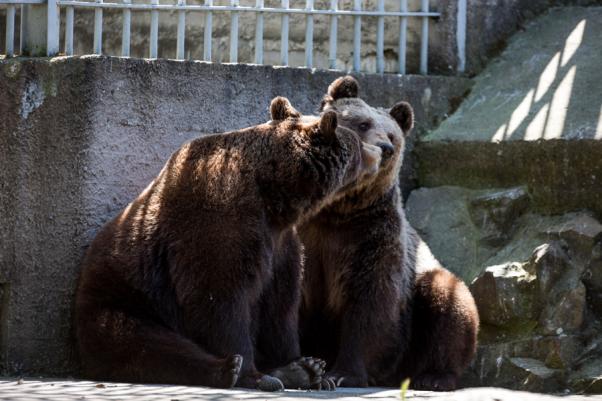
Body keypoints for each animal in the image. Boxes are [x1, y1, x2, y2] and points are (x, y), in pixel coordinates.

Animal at [71, 97, 380, 390]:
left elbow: (280, 307)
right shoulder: (219, 223)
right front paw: (255, 374)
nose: (380, 151)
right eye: (356, 141)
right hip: (123, 300)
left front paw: (309, 368)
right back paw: (225, 369)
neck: (274, 196)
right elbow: (219, 297)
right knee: (147, 344)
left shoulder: (281, 245)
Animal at [290, 76, 478, 390]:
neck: (337, 210)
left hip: (423, 295)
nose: (386, 148)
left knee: (449, 305)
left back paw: (435, 376)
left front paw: (343, 373)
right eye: (363, 123)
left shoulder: (372, 236)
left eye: (392, 135)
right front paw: (302, 366)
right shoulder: (308, 234)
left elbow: (372, 302)